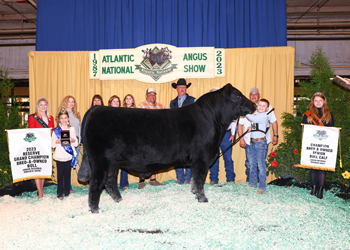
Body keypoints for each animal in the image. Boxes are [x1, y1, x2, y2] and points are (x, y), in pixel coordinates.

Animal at [78, 84, 254, 213]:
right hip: (100, 161)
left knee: (110, 181)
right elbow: (199, 180)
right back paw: (95, 210)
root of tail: (96, 109)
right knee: (95, 184)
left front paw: (195, 194)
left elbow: (195, 180)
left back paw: (119, 200)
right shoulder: (202, 158)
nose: (254, 104)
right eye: (238, 95)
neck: (212, 118)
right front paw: (203, 199)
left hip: (113, 163)